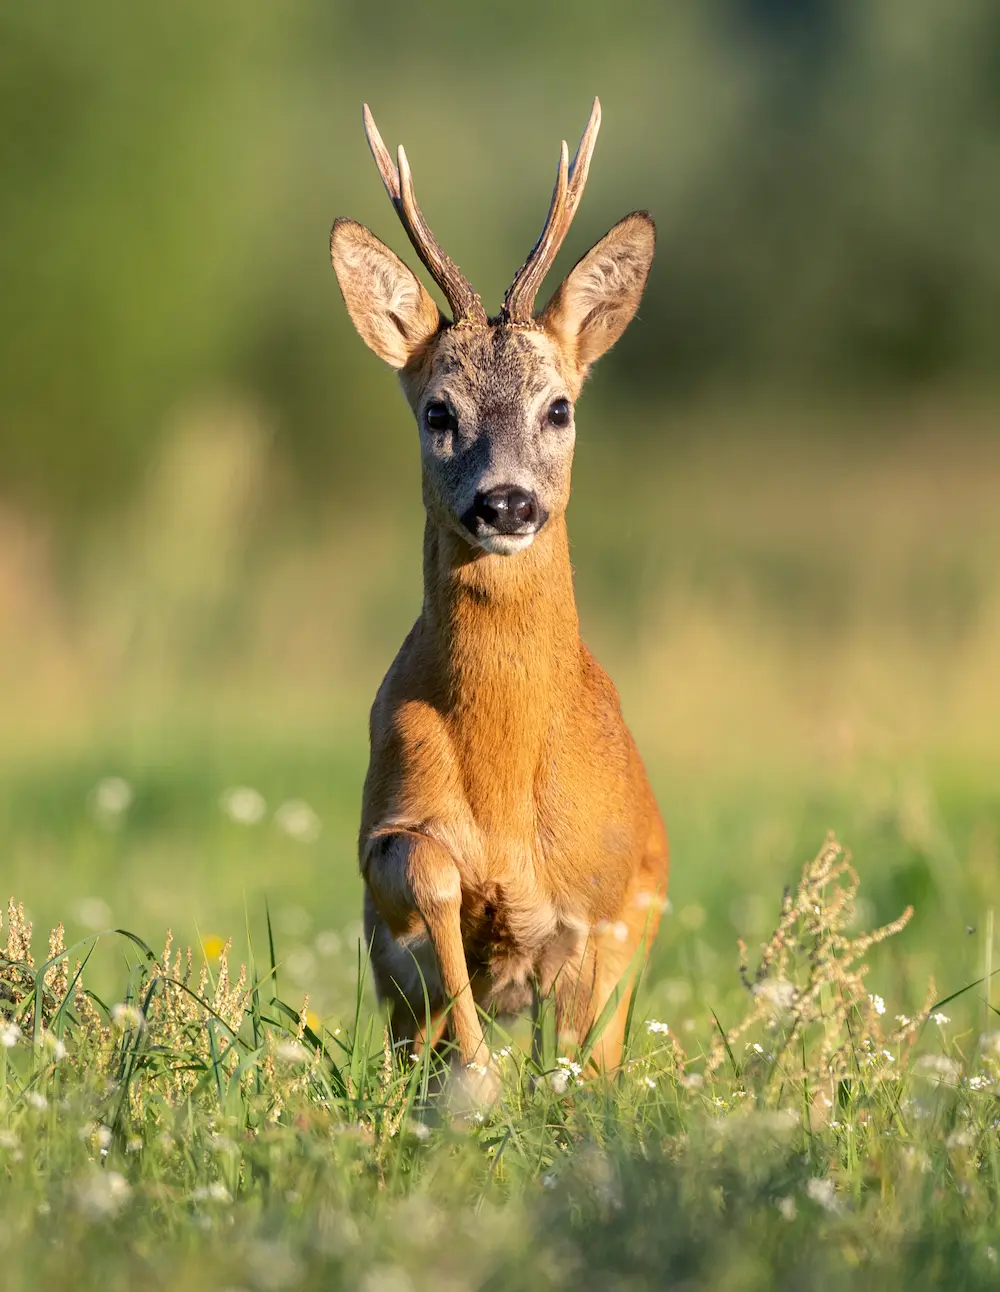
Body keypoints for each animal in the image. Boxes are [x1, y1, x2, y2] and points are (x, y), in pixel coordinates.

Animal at [330, 98, 668, 1090]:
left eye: (559, 407)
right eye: (438, 411)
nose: (507, 502)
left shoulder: (610, 902)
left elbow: (588, 1056)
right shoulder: (383, 833)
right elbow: (432, 874)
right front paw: (478, 1072)